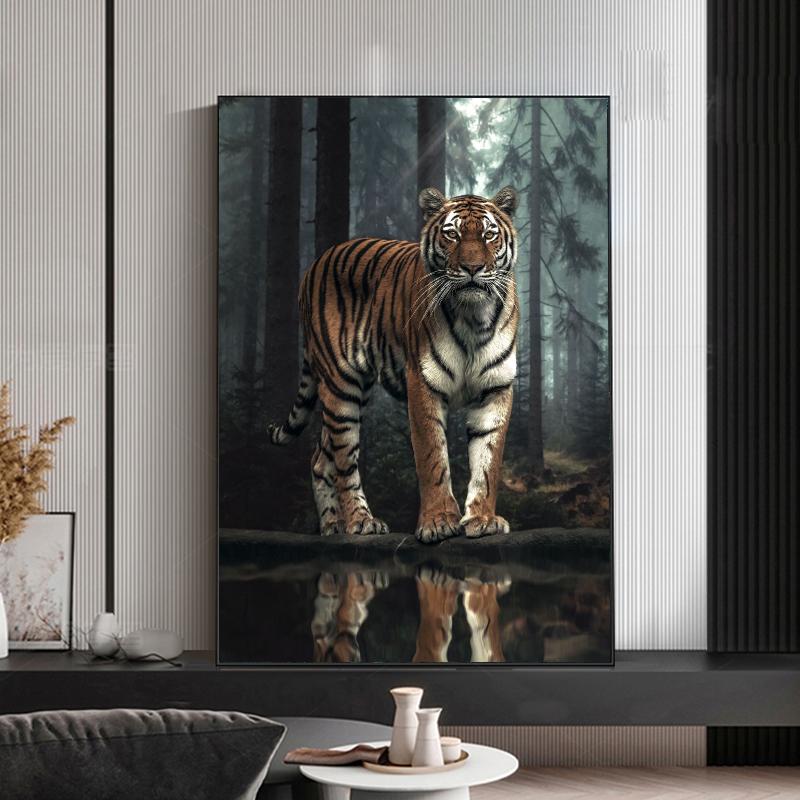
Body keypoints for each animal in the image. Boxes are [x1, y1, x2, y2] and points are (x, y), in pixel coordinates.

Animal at [268, 186, 519, 544]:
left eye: (488, 235)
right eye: (452, 235)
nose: (472, 268)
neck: (473, 316)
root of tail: (316, 262)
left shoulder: (495, 388)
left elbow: (488, 460)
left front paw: (482, 520)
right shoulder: (423, 383)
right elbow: (432, 456)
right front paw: (438, 522)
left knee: (320, 458)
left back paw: (331, 527)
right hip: (341, 387)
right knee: (343, 460)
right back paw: (360, 522)